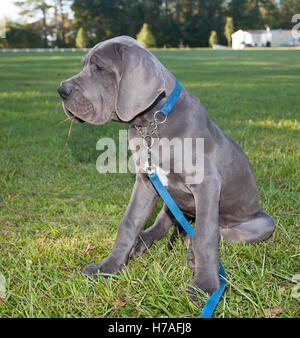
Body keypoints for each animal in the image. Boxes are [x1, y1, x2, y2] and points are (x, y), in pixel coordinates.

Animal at [58, 35, 274, 298]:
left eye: (99, 68)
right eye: (83, 65)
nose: (61, 90)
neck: (153, 122)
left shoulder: (207, 183)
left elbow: (205, 235)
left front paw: (205, 286)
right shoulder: (145, 181)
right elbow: (128, 223)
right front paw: (108, 267)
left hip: (262, 223)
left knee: (216, 233)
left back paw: (190, 251)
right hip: (171, 201)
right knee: (162, 224)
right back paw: (141, 243)